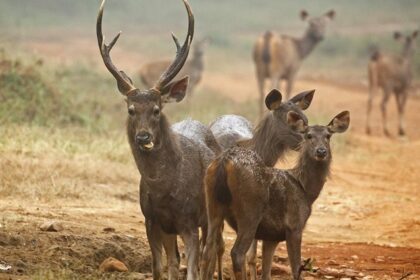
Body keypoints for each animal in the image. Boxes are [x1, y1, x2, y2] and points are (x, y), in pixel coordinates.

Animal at [95, 1, 221, 278]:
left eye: (156, 109)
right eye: (131, 109)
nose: (143, 136)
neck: (165, 191)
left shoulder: (189, 221)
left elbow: (193, 270)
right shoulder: (151, 220)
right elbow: (158, 268)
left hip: (213, 216)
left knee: (211, 256)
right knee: (175, 261)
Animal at [202, 110, 350, 280]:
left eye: (328, 135)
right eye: (308, 135)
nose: (321, 151)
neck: (306, 191)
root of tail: (224, 161)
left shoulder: (271, 236)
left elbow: (267, 272)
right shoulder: (294, 225)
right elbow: (296, 269)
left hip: (212, 206)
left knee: (208, 249)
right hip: (250, 212)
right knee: (237, 253)